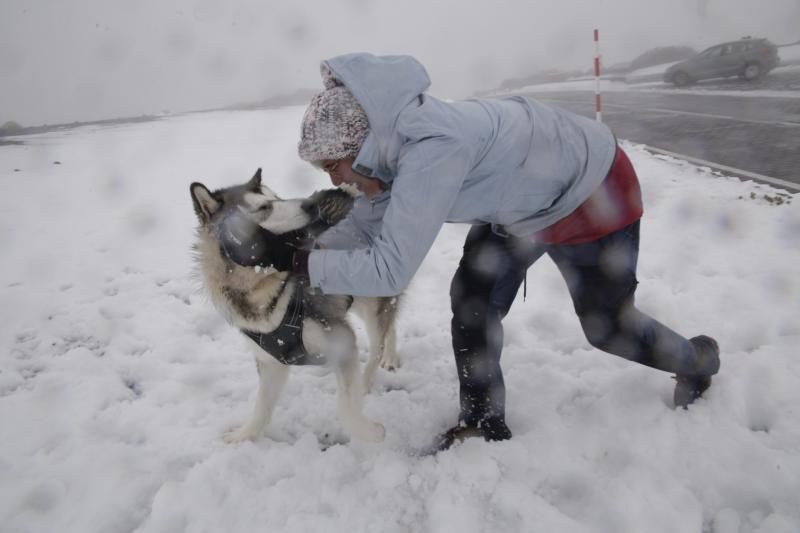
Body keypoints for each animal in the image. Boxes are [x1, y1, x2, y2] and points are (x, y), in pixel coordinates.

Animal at [191, 169, 396, 440]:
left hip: (373, 298)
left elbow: (346, 407)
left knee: (377, 344)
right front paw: (243, 436)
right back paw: (391, 356)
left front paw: (369, 433)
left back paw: (368, 379)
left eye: (277, 197)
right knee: (390, 326)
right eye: (264, 207)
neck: (265, 291)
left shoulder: (341, 340)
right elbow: (262, 407)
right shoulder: (272, 359)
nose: (310, 205)